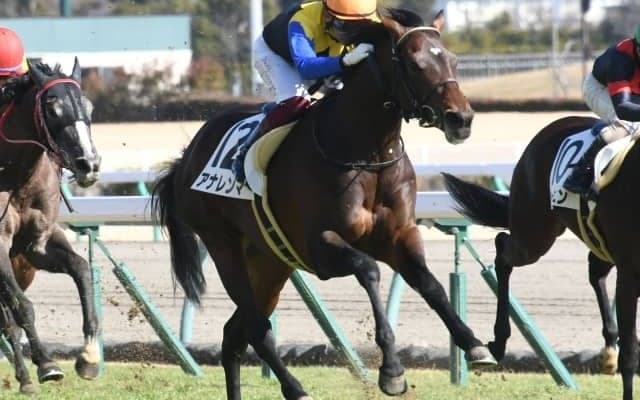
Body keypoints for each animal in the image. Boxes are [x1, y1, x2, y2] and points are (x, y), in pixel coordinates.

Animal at [0, 59, 102, 394]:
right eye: (52, 108)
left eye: (89, 106)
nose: (88, 164)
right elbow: (22, 308)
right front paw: (46, 363)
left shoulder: (38, 246)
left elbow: (82, 270)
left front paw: (89, 357)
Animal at [152, 9, 495, 400]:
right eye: (415, 63)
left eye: (453, 60)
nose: (461, 119)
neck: (366, 153)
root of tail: (186, 158)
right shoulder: (319, 247)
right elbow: (369, 270)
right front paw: (391, 369)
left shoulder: (398, 235)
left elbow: (430, 284)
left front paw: (474, 343)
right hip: (224, 247)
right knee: (256, 328)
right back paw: (296, 388)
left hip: (270, 262)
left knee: (234, 336)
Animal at [441, 115, 640, 399]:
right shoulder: (628, 273)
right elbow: (631, 353)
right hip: (534, 234)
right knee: (502, 251)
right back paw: (498, 342)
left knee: (595, 270)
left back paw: (609, 348)